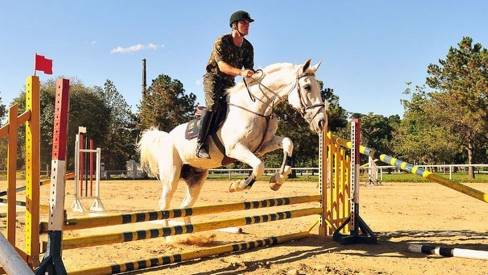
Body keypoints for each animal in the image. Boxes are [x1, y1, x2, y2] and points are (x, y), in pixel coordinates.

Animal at [137, 59, 328, 218]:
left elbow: (288, 143)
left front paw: (277, 180)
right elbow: (259, 166)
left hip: (196, 178)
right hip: (171, 176)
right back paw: (169, 237)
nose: (321, 122)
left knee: (185, 206)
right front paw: (238, 185)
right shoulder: (236, 148)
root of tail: (167, 137)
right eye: (307, 87)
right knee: (164, 204)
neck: (258, 107)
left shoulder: (263, 145)